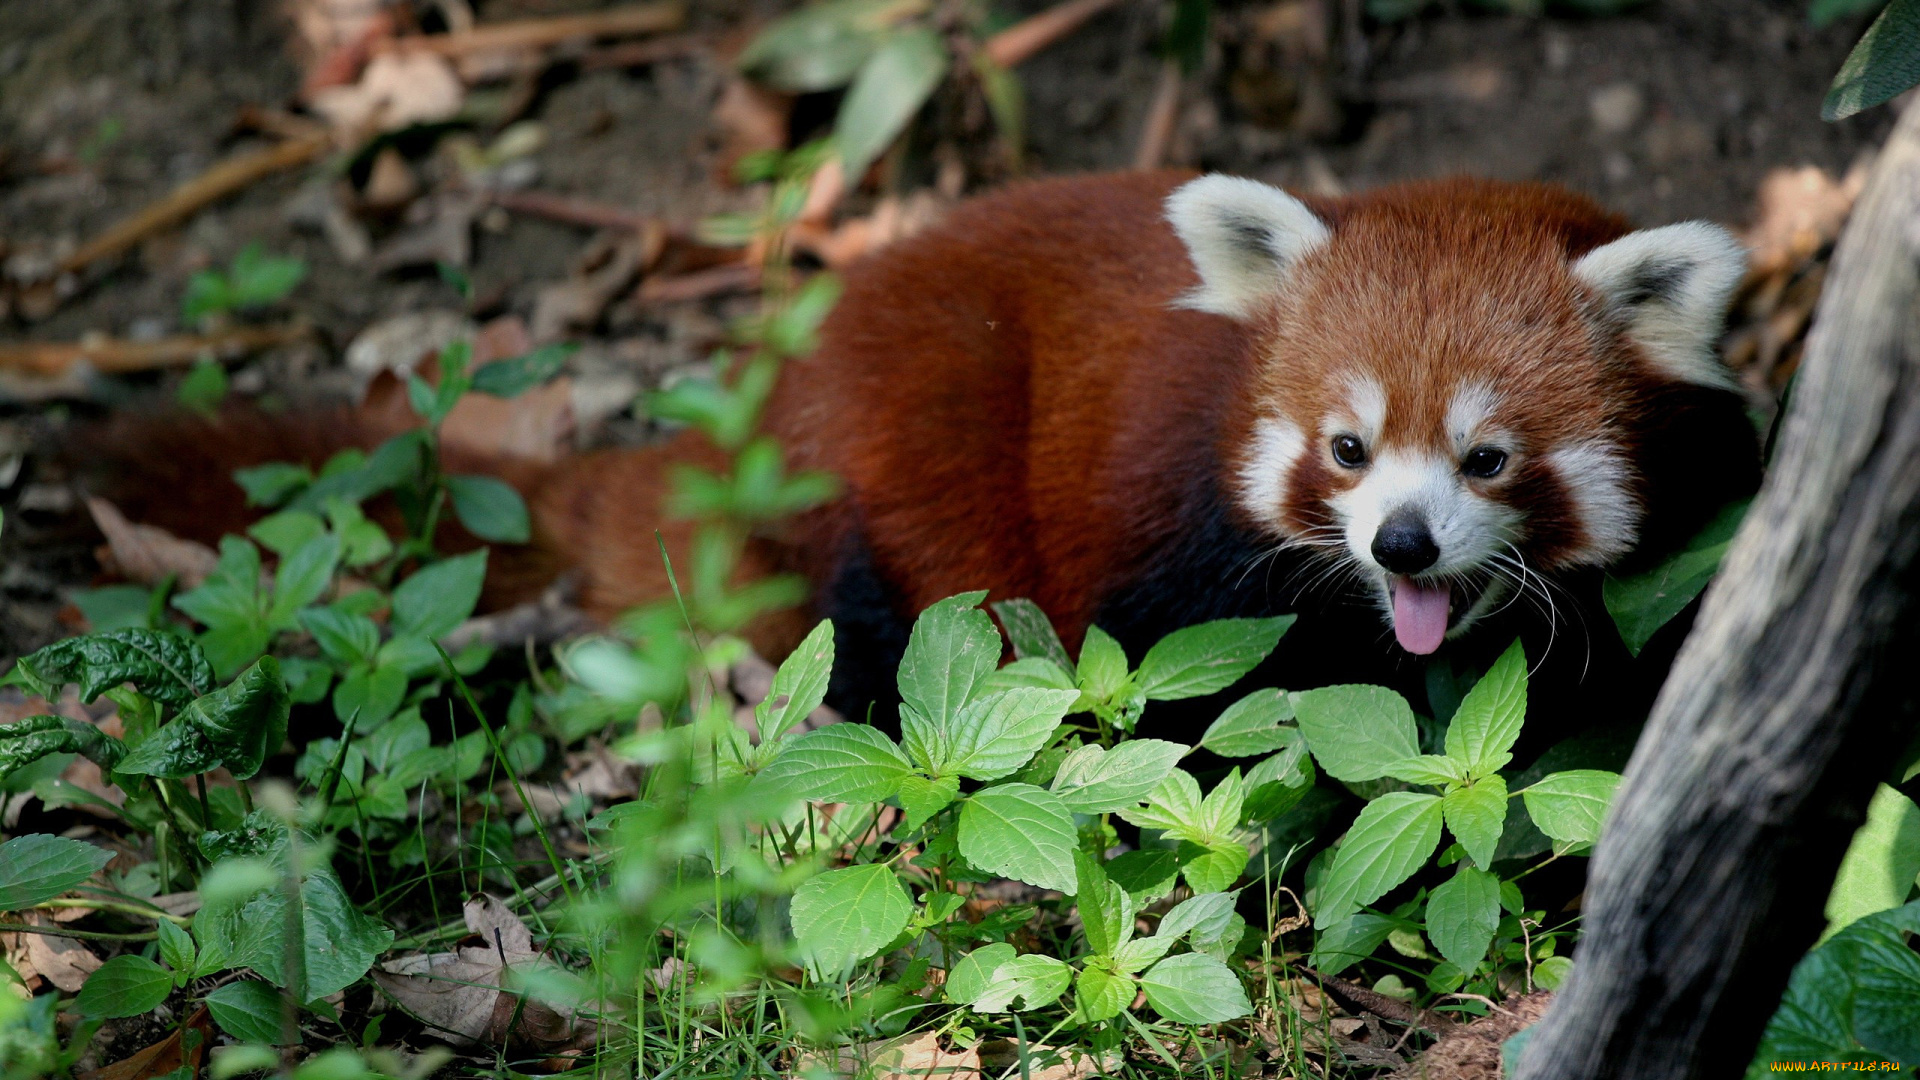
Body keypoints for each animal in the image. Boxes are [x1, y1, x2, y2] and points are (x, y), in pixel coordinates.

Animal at [82, 168, 1758, 722]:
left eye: (1486, 461)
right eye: (1346, 450)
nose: (1401, 544)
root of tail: (763, 393)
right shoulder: (1177, 540)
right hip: (901, 456)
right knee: (888, 618)